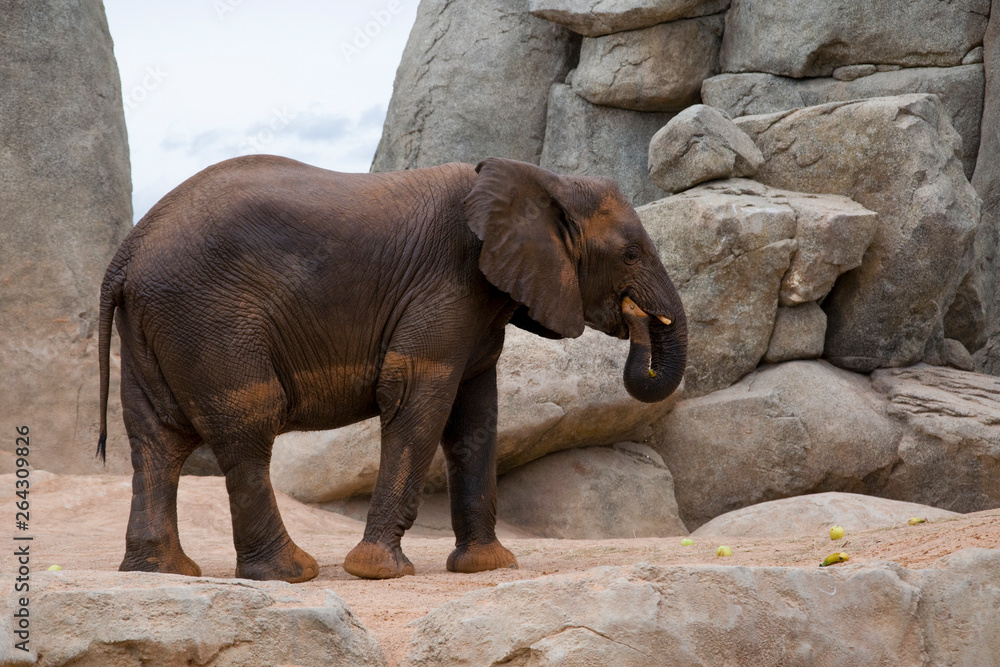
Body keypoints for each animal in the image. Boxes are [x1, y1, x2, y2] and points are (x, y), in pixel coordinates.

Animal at [97, 154, 687, 582]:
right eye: (631, 253)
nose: (638, 317)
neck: (543, 179)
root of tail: (126, 252)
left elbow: (476, 418)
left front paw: (487, 567)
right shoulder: (446, 286)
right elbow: (417, 400)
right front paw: (378, 571)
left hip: (157, 324)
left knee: (156, 440)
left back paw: (161, 572)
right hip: (209, 321)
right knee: (248, 426)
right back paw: (290, 574)